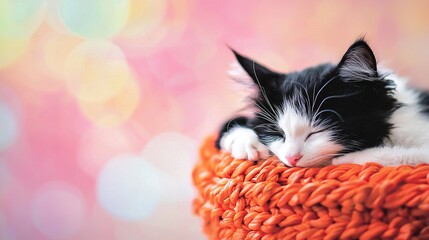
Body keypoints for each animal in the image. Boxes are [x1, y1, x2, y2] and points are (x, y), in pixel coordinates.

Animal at [216, 39, 428, 167]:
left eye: (317, 132)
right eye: (277, 133)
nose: (292, 158)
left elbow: (411, 155)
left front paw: (348, 159)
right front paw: (244, 142)